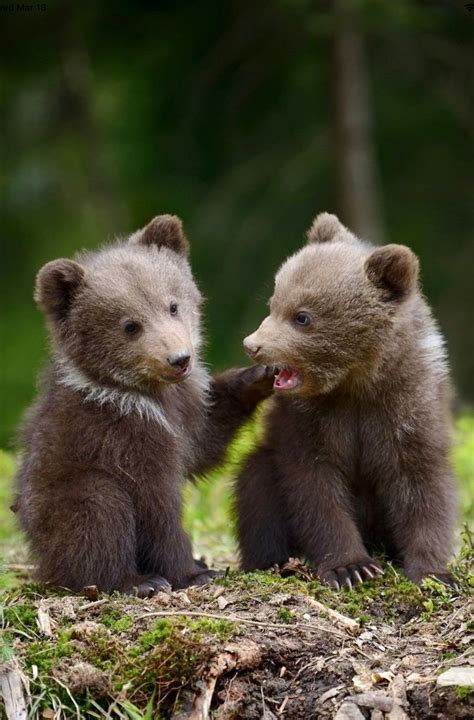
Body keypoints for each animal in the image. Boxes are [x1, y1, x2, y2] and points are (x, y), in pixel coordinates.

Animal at [14, 214, 273, 597]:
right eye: (130, 325)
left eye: (172, 305)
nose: (179, 359)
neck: (147, 395)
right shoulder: (124, 435)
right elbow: (156, 505)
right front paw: (192, 572)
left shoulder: (185, 411)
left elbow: (204, 442)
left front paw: (259, 375)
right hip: (60, 499)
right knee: (99, 510)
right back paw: (137, 580)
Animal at [237, 212, 458, 589]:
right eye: (274, 303)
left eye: (302, 316)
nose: (253, 344)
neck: (355, 383)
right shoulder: (310, 420)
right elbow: (315, 488)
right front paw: (350, 567)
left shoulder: (407, 406)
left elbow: (422, 484)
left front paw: (434, 571)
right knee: (255, 486)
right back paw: (274, 561)